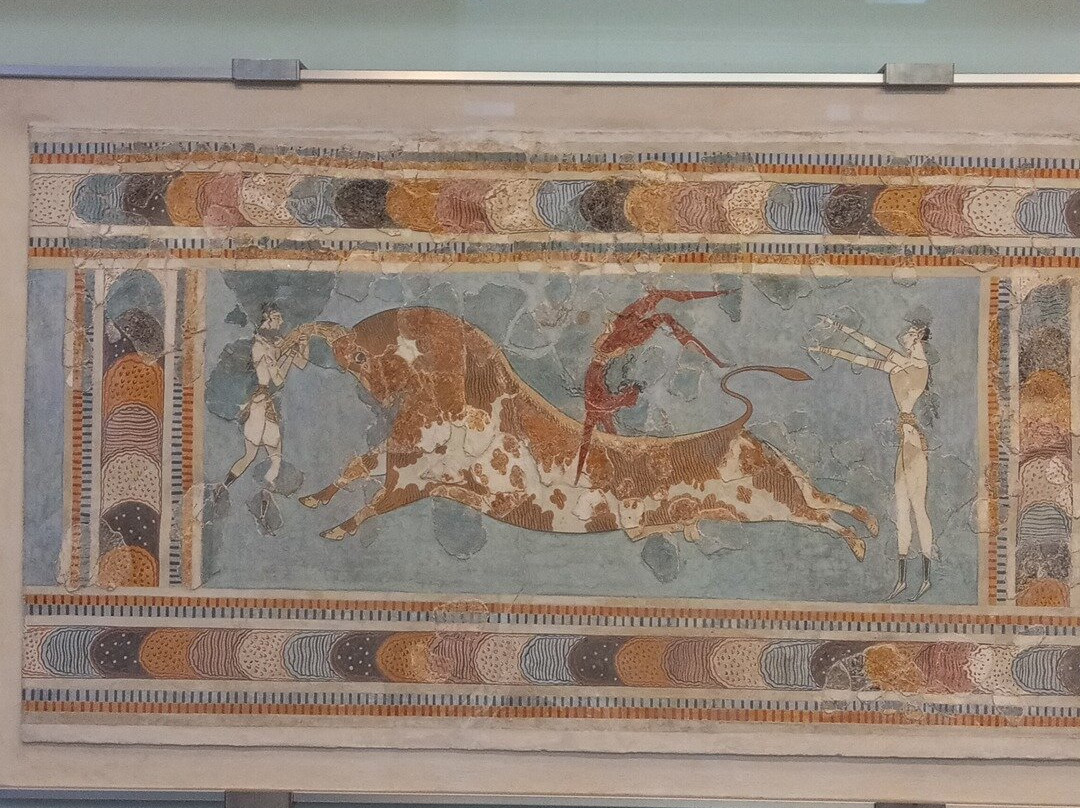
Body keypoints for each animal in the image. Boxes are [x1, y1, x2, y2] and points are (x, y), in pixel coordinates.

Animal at [278, 307, 877, 560]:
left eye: (364, 354)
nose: (328, 350)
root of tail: (744, 434)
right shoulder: (402, 465)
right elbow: (353, 471)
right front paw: (311, 502)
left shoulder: (411, 482)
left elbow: (370, 503)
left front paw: (333, 530)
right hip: (765, 500)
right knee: (823, 501)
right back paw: (867, 527)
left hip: (765, 503)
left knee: (818, 515)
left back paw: (858, 543)